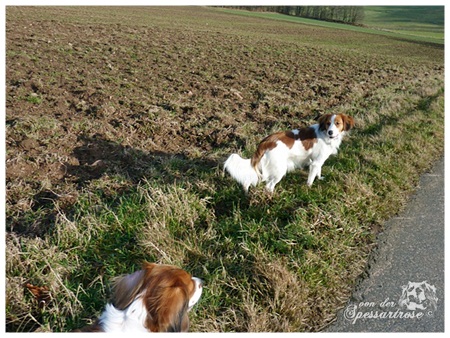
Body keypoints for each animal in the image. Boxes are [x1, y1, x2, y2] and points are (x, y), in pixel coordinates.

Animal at [223, 113, 354, 193]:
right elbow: (311, 178)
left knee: (248, 181)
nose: (330, 132)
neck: (324, 134)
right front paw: (309, 188)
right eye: (328, 123)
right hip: (279, 169)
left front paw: (320, 178)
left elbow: (319, 170)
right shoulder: (315, 163)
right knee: (269, 186)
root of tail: (265, 142)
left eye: (337, 123)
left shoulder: (318, 160)